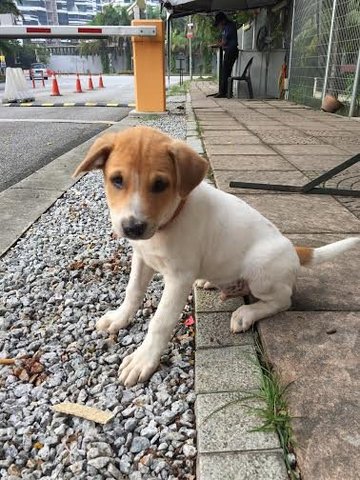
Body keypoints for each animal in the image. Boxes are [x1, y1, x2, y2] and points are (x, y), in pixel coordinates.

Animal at [74, 126, 360, 386]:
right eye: (117, 180)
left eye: (160, 184)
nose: (133, 227)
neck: (170, 220)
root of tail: (293, 249)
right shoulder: (142, 258)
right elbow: (132, 292)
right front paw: (119, 319)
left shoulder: (179, 278)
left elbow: (161, 321)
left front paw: (143, 359)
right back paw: (211, 282)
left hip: (261, 272)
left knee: (282, 300)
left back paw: (246, 313)